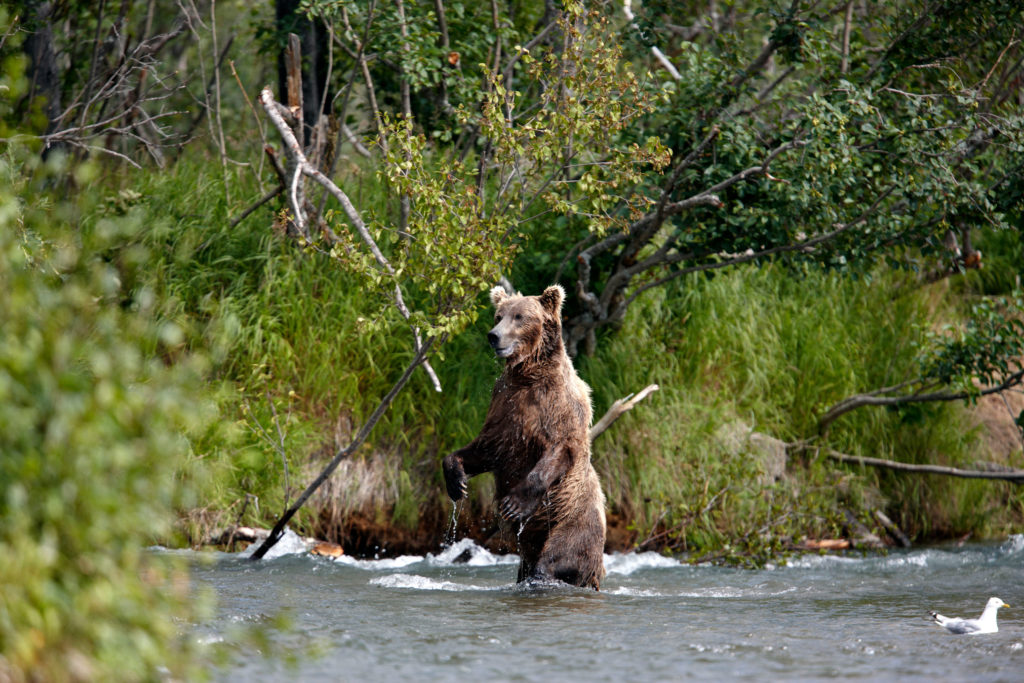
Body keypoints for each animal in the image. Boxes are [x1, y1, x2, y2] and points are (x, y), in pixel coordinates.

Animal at [442, 284, 607, 590]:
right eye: (498, 315)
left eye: (519, 316)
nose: (494, 335)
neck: (528, 374)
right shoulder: (503, 407)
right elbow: (484, 449)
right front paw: (457, 482)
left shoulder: (559, 408)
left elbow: (559, 450)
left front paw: (513, 505)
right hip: (533, 541)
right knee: (528, 564)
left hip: (571, 520)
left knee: (556, 558)